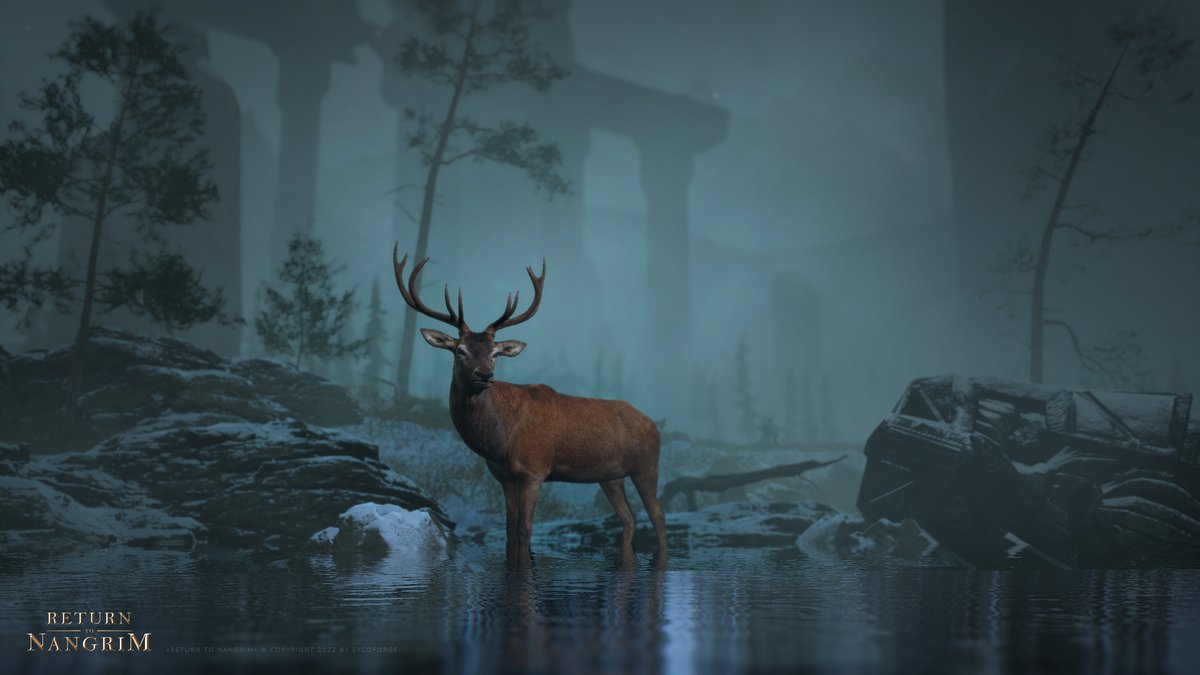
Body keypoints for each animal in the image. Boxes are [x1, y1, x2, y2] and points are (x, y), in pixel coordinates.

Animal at [392, 245, 667, 568]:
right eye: (460, 350)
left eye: (496, 352)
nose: (484, 375)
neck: (499, 438)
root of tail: (654, 424)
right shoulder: (504, 476)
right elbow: (509, 531)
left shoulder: (534, 469)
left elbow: (525, 530)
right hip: (610, 476)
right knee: (630, 518)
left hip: (646, 465)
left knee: (658, 516)